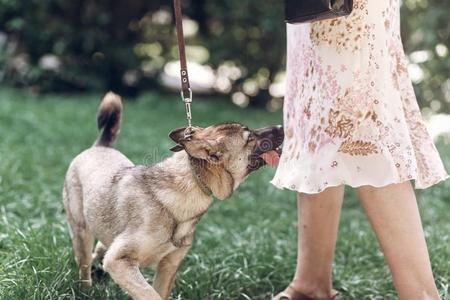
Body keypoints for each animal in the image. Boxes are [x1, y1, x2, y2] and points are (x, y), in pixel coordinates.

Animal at [62, 92, 284, 298]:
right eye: (250, 137)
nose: (282, 126)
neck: (192, 181)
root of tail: (100, 146)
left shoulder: (168, 266)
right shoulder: (119, 261)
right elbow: (149, 294)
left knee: (101, 246)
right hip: (81, 233)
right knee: (84, 265)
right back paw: (86, 289)